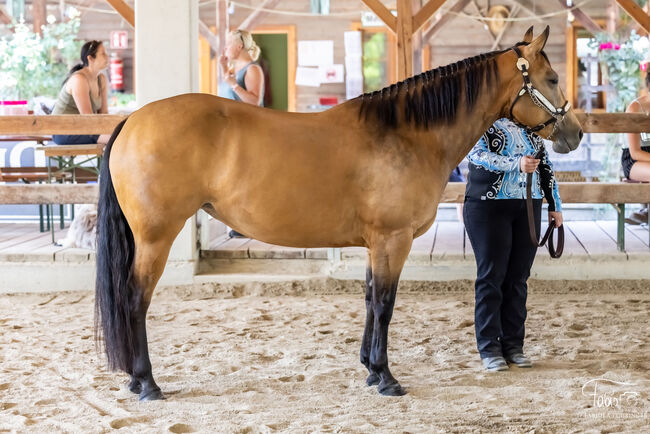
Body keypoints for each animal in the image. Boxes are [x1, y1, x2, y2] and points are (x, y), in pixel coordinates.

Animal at [96, 27, 584, 400]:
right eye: (552, 77)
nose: (575, 133)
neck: (407, 133)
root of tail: (133, 120)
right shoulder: (392, 240)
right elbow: (385, 304)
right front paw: (386, 378)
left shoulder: (375, 244)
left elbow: (369, 300)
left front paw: (369, 368)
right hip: (156, 237)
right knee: (135, 299)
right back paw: (146, 383)